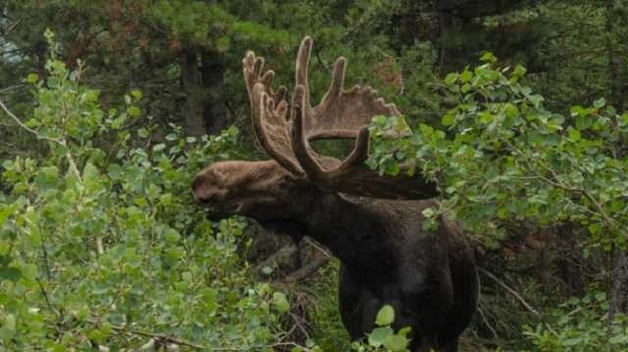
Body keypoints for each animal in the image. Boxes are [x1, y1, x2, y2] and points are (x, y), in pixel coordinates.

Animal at [191, 37, 476, 350]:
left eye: (285, 181)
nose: (203, 179)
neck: (375, 260)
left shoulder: (422, 332)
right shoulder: (356, 327)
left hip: (452, 334)